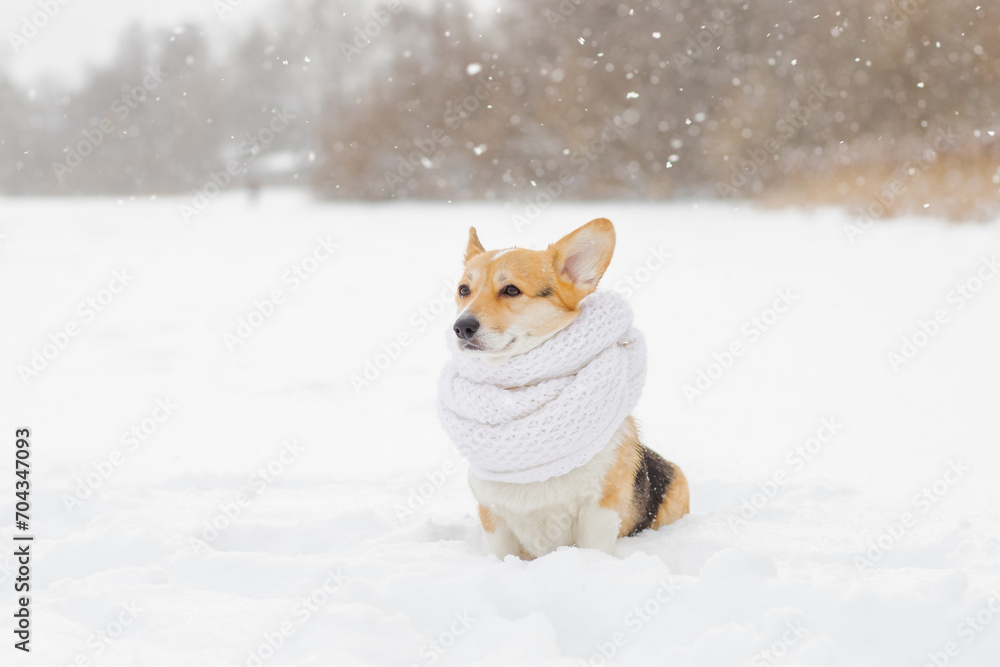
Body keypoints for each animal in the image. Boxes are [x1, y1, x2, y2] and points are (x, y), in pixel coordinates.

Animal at [448, 218, 688, 560]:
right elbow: (500, 555)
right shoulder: (493, 518)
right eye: (463, 290)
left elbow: (595, 550)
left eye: (511, 290)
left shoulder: (598, 512)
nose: (461, 327)